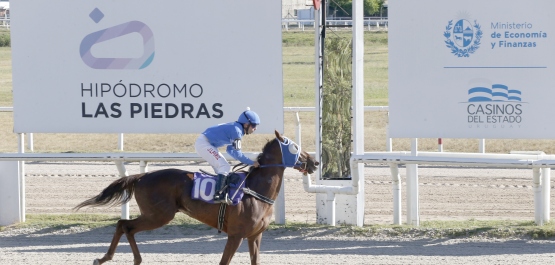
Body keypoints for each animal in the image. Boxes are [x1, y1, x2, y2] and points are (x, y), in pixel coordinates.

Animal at [74, 130, 320, 264]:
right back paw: (111, 258)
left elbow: (254, 260)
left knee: (125, 226)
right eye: (294, 147)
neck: (254, 191)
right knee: (124, 224)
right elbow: (224, 261)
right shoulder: (236, 234)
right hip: (158, 215)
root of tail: (142, 176)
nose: (315, 162)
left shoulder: (254, 236)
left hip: (156, 215)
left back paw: (128, 259)